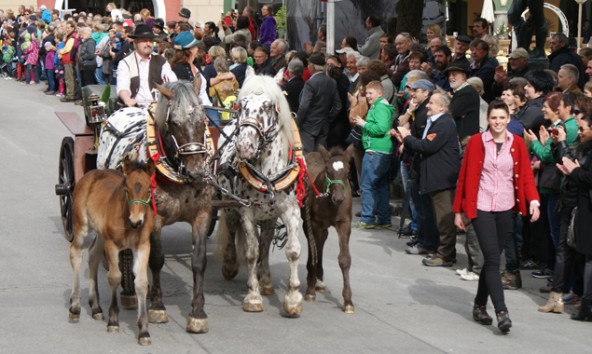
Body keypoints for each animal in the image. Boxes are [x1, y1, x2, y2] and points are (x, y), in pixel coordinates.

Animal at [68, 156, 156, 344]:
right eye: (127, 189)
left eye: (148, 190)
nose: (136, 221)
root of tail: (91, 173)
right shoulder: (112, 244)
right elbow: (115, 277)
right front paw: (114, 321)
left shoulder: (143, 245)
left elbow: (141, 283)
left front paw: (144, 331)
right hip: (81, 225)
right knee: (76, 253)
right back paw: (75, 307)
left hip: (101, 234)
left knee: (93, 256)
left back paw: (96, 307)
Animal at [97, 81, 215, 334]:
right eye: (174, 124)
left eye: (203, 121)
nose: (197, 172)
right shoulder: (155, 219)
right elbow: (157, 259)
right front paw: (158, 307)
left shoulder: (202, 214)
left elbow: (199, 261)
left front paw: (198, 313)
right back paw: (130, 293)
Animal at [215, 74, 306, 316]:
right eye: (242, 105)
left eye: (268, 106)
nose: (244, 146)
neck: (268, 173)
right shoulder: (247, 212)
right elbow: (251, 252)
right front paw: (253, 296)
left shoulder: (291, 211)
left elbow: (292, 251)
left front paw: (293, 299)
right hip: (230, 205)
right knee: (232, 228)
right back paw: (230, 265)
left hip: (270, 215)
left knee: (266, 240)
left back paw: (265, 280)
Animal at [302, 145, 354, 314]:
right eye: (328, 171)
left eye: (348, 173)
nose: (339, 198)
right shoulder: (315, 223)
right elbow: (314, 251)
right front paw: (310, 291)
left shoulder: (344, 223)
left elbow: (344, 259)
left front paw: (348, 302)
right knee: (314, 244)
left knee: (322, 240)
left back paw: (319, 279)